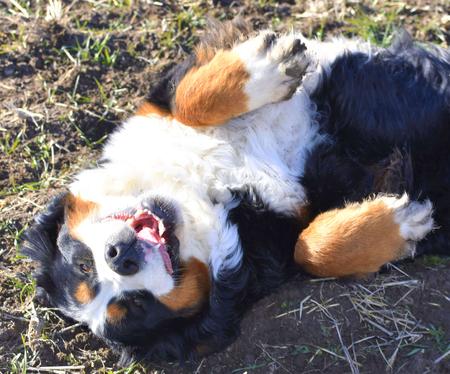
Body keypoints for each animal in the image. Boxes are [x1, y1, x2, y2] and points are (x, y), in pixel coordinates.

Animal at [22, 19, 450, 364]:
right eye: (136, 305)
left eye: (83, 264)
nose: (119, 256)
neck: (206, 189)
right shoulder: (274, 244)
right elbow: (308, 249)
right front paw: (403, 222)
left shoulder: (161, 105)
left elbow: (190, 99)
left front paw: (272, 63)